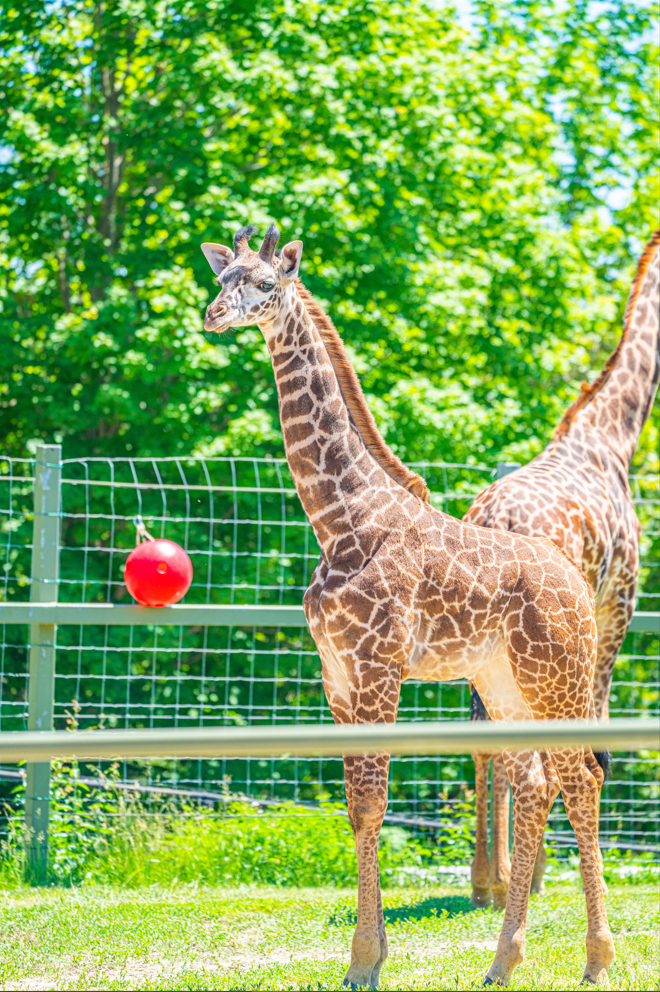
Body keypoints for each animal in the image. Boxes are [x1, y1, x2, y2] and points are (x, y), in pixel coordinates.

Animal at [200, 223, 613, 988]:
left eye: (265, 284)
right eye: (222, 279)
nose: (213, 317)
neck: (338, 520)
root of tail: (574, 582)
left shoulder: (378, 671)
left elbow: (373, 805)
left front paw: (365, 960)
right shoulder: (336, 680)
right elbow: (357, 811)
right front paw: (368, 956)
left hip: (559, 679)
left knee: (581, 779)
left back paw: (597, 959)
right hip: (503, 683)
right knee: (538, 781)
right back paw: (503, 961)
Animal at [466, 230, 660, 910]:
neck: (613, 439)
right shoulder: (617, 605)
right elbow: (596, 744)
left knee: (489, 741)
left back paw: (490, 882)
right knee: (534, 750)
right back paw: (511, 879)